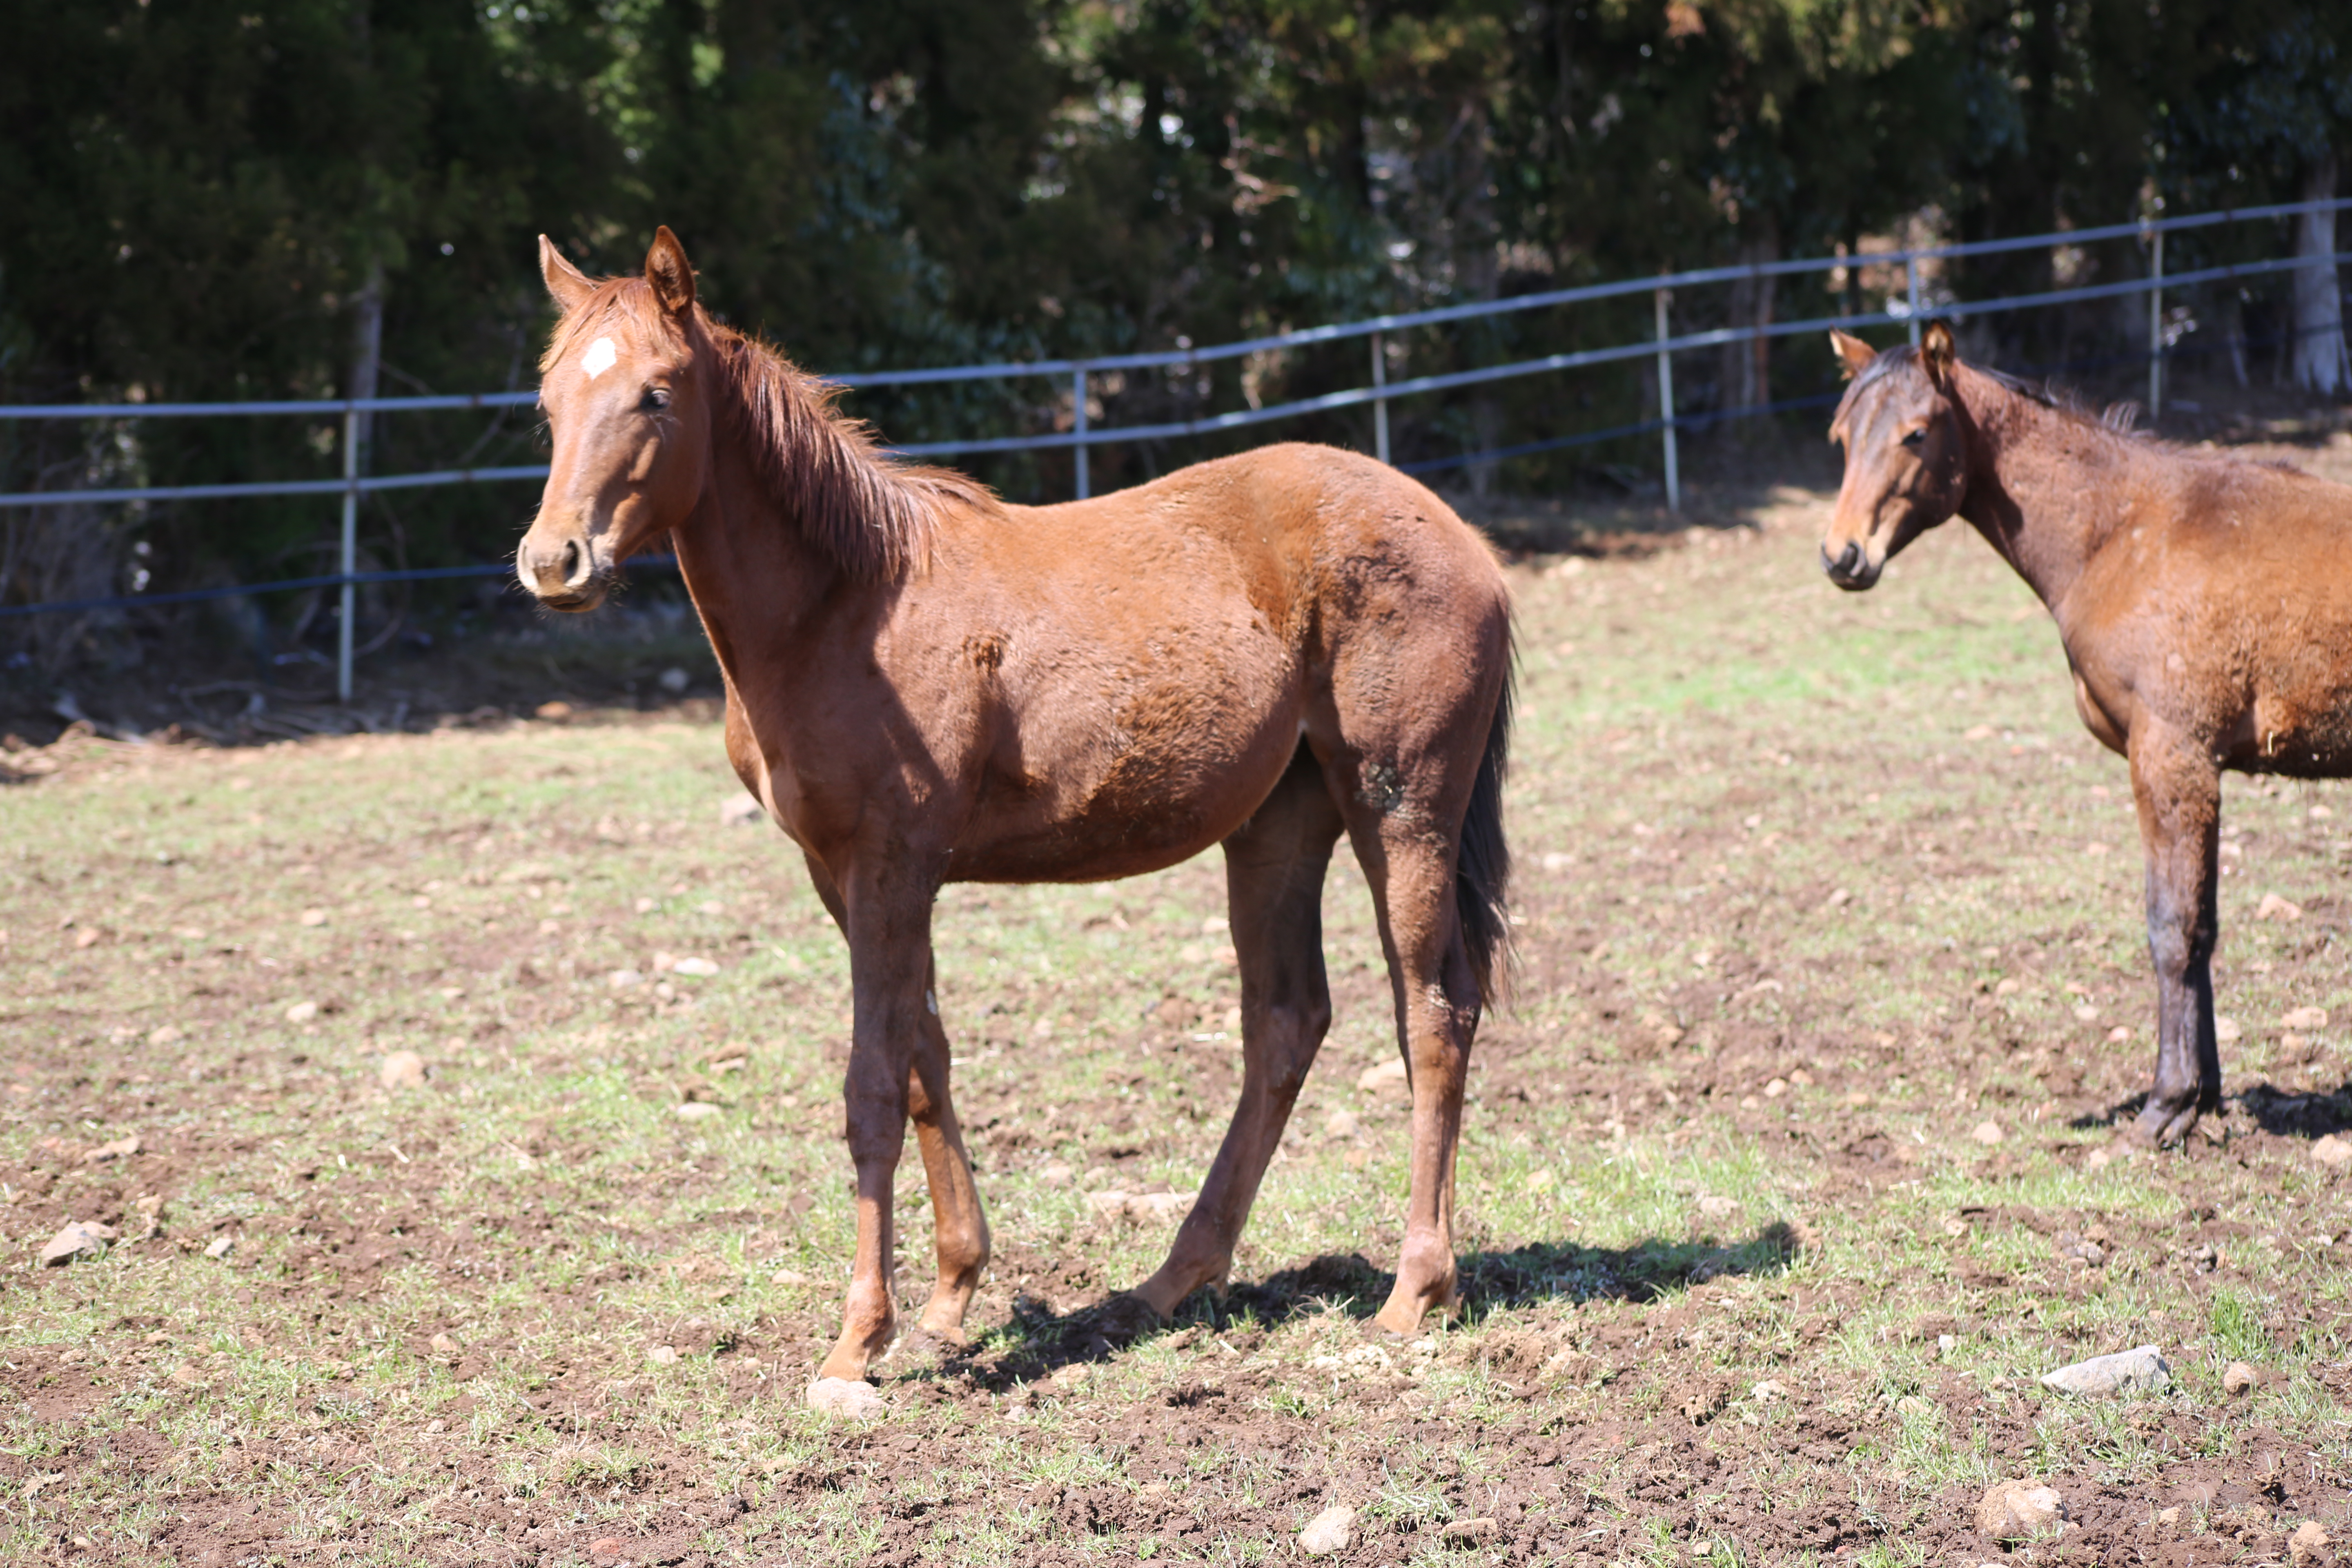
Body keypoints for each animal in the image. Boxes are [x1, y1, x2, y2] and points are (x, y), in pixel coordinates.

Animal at [515, 230, 1515, 1401]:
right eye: (548, 402)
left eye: (657, 394)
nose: (554, 562)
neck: (845, 605)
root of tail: (1463, 539)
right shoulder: (843, 874)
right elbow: (925, 1062)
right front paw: (948, 1300)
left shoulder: (891, 866)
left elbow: (870, 1086)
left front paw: (857, 1341)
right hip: (1276, 826)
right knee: (1284, 1023)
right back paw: (1171, 1281)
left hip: (1401, 809)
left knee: (1433, 1014)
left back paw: (1413, 1293)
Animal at [1825, 324, 2352, 1147]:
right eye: (1842, 438)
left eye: (1915, 434)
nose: (1844, 556)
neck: (2125, 533)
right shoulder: (2195, 769)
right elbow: (2203, 930)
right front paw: (2204, 1100)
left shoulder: (2171, 758)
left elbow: (2173, 928)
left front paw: (2166, 1105)